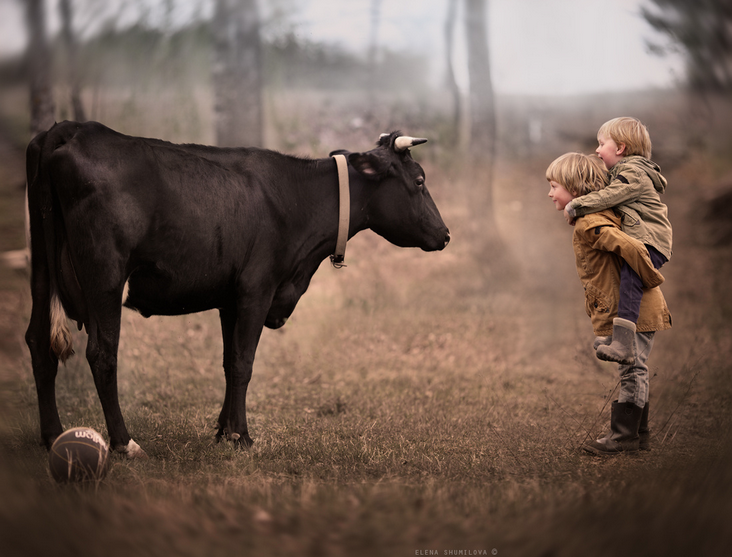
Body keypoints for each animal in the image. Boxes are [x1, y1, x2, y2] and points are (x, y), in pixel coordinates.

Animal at [25, 120, 448, 456]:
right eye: (420, 181)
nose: (445, 234)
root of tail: (73, 128)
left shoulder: (229, 298)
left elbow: (229, 363)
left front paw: (223, 430)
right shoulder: (256, 289)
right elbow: (244, 363)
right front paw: (241, 436)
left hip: (42, 269)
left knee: (38, 341)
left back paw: (51, 436)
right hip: (105, 277)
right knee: (102, 353)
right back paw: (123, 442)